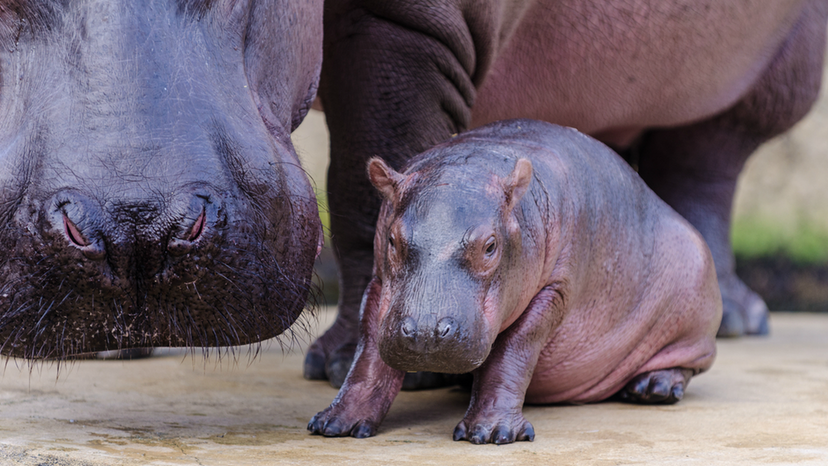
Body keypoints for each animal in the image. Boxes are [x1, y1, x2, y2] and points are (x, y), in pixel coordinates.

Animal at [308, 0, 828, 386]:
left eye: (491, 247)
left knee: (707, 162)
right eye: (393, 242)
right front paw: (340, 368)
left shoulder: (403, 24)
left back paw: (736, 323)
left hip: (764, 74)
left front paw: (347, 368)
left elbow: (363, 181)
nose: (423, 336)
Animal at [308, 119, 720, 444]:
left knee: (692, 361)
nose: (425, 331)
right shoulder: (378, 283)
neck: (475, 160)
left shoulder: (554, 291)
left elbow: (512, 351)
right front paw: (336, 423)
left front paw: (491, 433)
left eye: (490, 245)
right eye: (393, 240)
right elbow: (369, 352)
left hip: (695, 321)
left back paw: (654, 388)